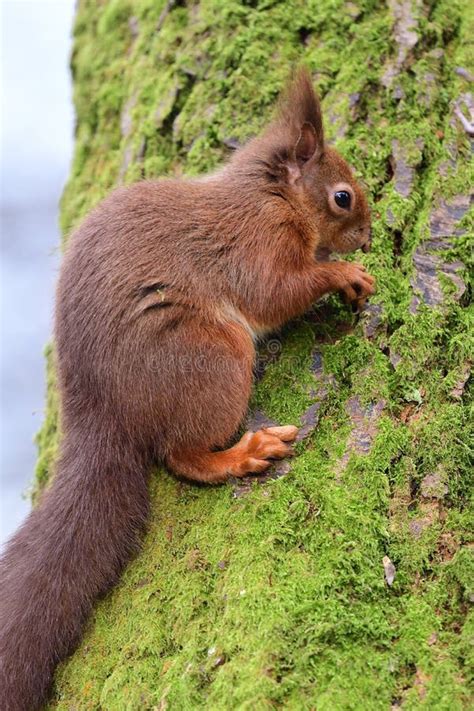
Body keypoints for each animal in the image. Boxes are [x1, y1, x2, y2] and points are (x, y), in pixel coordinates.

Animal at [0, 68, 374, 711]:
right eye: (342, 197)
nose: (371, 237)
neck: (271, 196)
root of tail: (103, 412)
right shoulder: (258, 245)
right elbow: (277, 292)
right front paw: (342, 274)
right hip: (214, 358)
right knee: (181, 455)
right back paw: (243, 453)